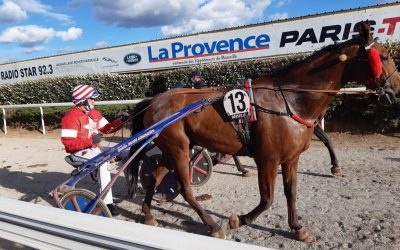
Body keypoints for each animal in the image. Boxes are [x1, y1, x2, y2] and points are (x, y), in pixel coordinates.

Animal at [129, 22, 400, 242]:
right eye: (385, 56)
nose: (396, 90)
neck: (289, 99)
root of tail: (154, 101)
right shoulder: (268, 159)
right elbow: (267, 199)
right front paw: (239, 220)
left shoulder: (291, 158)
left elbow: (291, 193)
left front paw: (297, 228)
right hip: (179, 148)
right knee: (185, 188)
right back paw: (213, 225)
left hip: (173, 148)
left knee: (156, 176)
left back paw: (148, 214)